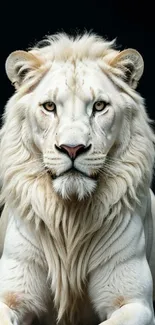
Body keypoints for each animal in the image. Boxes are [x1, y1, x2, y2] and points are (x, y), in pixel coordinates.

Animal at [0, 33, 155, 324]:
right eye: (49, 107)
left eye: (99, 106)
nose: (72, 148)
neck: (69, 221)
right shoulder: (11, 295)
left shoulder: (135, 302)